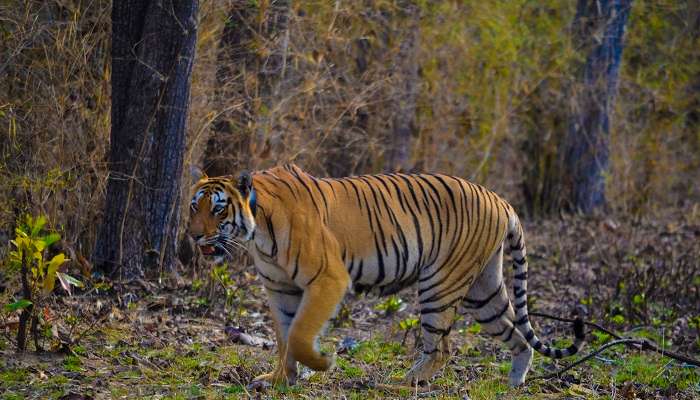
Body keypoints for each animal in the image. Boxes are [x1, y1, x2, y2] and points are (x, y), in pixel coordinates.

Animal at [187, 163, 584, 388]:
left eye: (218, 210)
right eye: (194, 206)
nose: (192, 236)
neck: (258, 233)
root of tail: (500, 199)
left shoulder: (328, 279)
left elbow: (299, 335)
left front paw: (323, 364)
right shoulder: (280, 289)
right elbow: (284, 338)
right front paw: (279, 380)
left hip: (440, 284)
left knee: (442, 349)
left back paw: (401, 384)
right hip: (483, 292)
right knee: (516, 335)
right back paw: (514, 383)